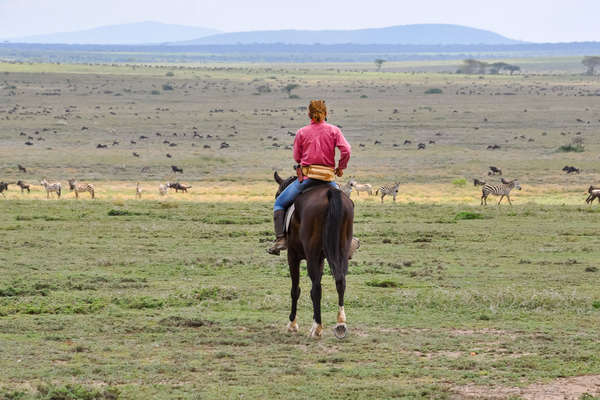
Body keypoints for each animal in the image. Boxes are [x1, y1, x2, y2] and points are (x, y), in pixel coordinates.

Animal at [274, 170, 354, 340]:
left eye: (278, 194)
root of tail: (331, 193)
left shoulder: (293, 256)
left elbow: (295, 290)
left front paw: (292, 324)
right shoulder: (321, 259)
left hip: (311, 255)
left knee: (316, 289)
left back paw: (317, 328)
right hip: (341, 251)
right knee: (340, 281)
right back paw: (340, 324)